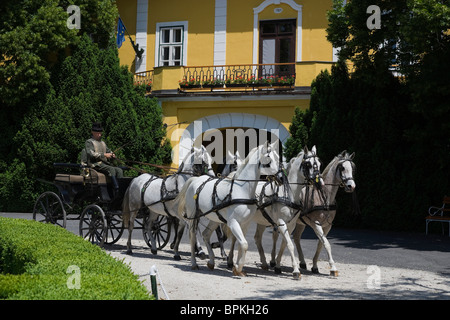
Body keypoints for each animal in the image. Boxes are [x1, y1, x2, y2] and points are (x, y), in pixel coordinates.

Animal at [178, 141, 280, 276]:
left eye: (278, 158)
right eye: (269, 159)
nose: (281, 177)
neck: (241, 190)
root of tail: (196, 179)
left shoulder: (245, 223)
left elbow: (241, 244)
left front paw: (237, 267)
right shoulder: (233, 222)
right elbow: (244, 244)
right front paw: (238, 268)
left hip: (215, 219)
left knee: (206, 234)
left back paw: (211, 262)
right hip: (193, 215)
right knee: (193, 236)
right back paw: (194, 262)